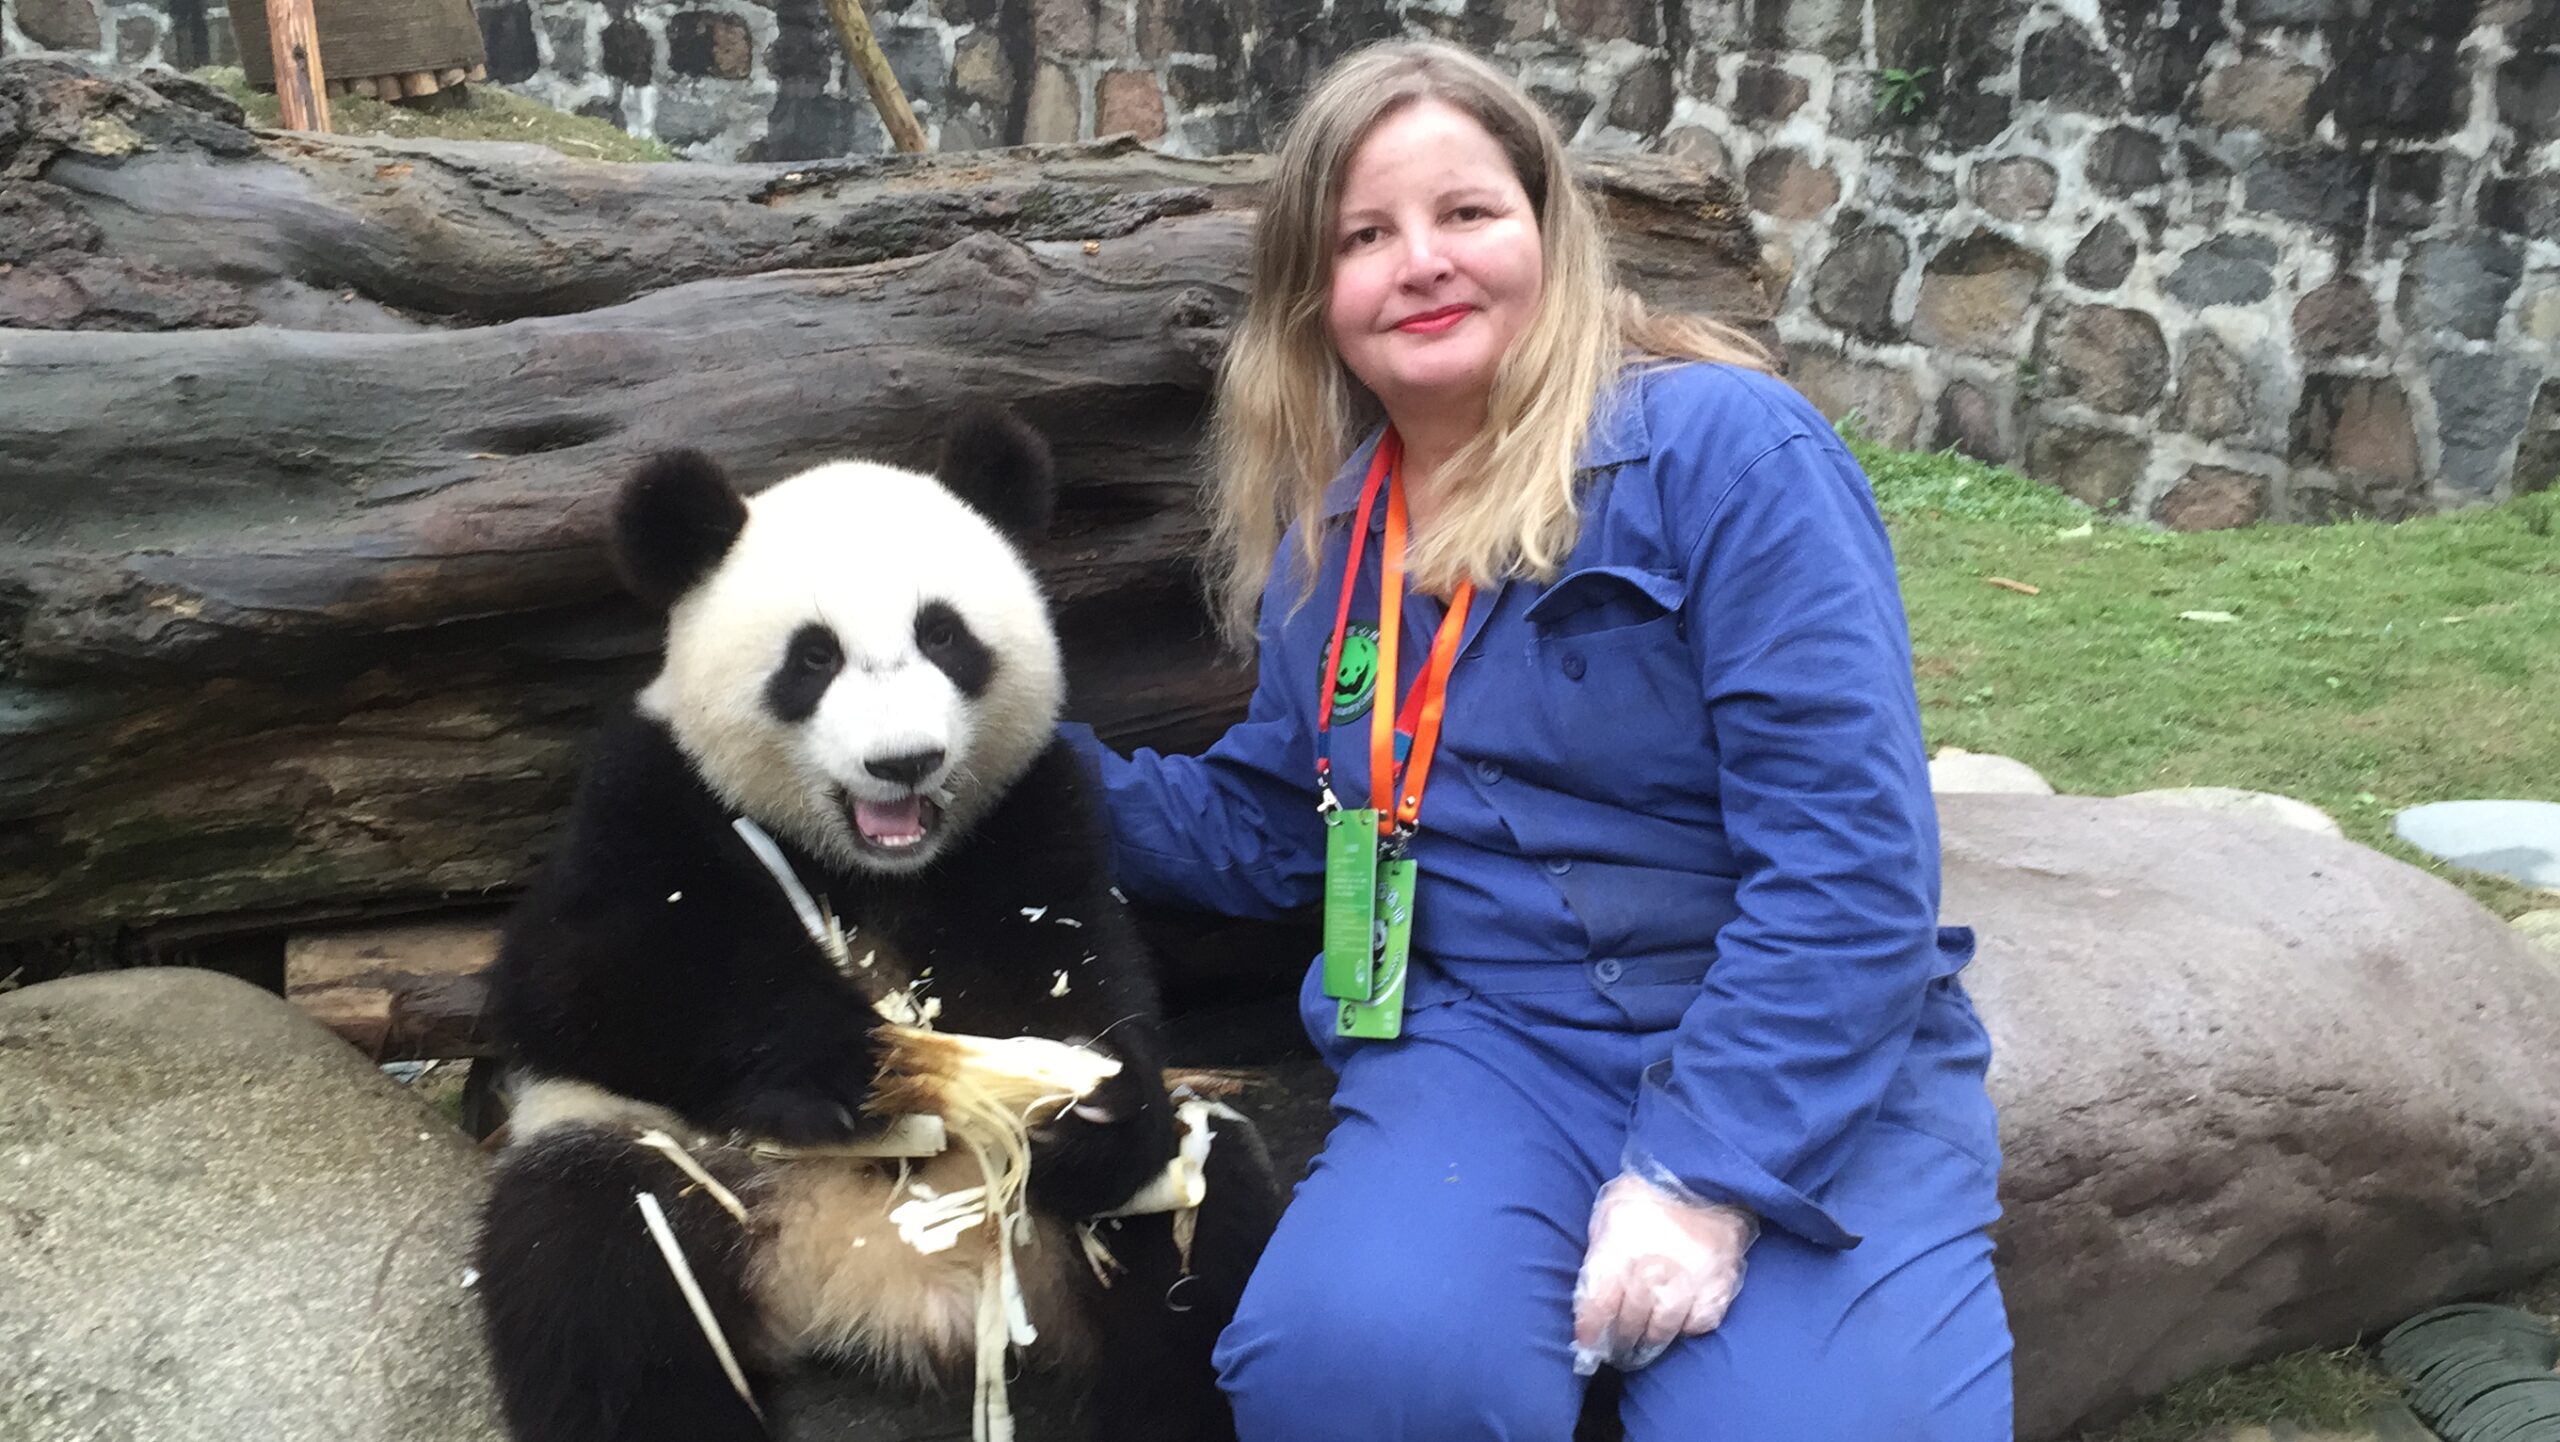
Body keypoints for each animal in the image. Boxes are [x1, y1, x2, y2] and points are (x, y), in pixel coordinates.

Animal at [468, 407, 1280, 1442]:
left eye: (944, 637)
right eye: (813, 659)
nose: (905, 762)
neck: (869, 866)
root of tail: (887, 1294)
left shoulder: (1026, 810)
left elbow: (1080, 956)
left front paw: (1077, 1102)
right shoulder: (646, 796)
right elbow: (573, 979)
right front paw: (854, 1060)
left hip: (1085, 1223)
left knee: (1200, 1245)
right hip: (694, 1176)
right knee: (596, 1273)